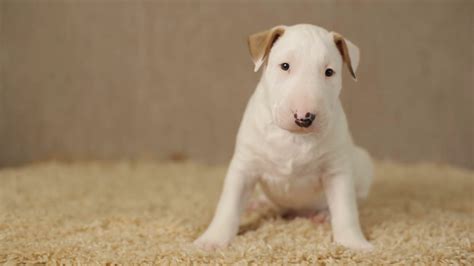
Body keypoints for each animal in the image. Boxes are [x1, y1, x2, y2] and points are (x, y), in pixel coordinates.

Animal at [194, 23, 372, 250]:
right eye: (285, 66)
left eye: (329, 72)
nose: (304, 117)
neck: (293, 138)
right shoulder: (244, 166)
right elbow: (228, 206)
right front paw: (212, 240)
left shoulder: (337, 170)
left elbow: (345, 210)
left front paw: (353, 243)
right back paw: (259, 203)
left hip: (363, 162)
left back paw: (323, 215)